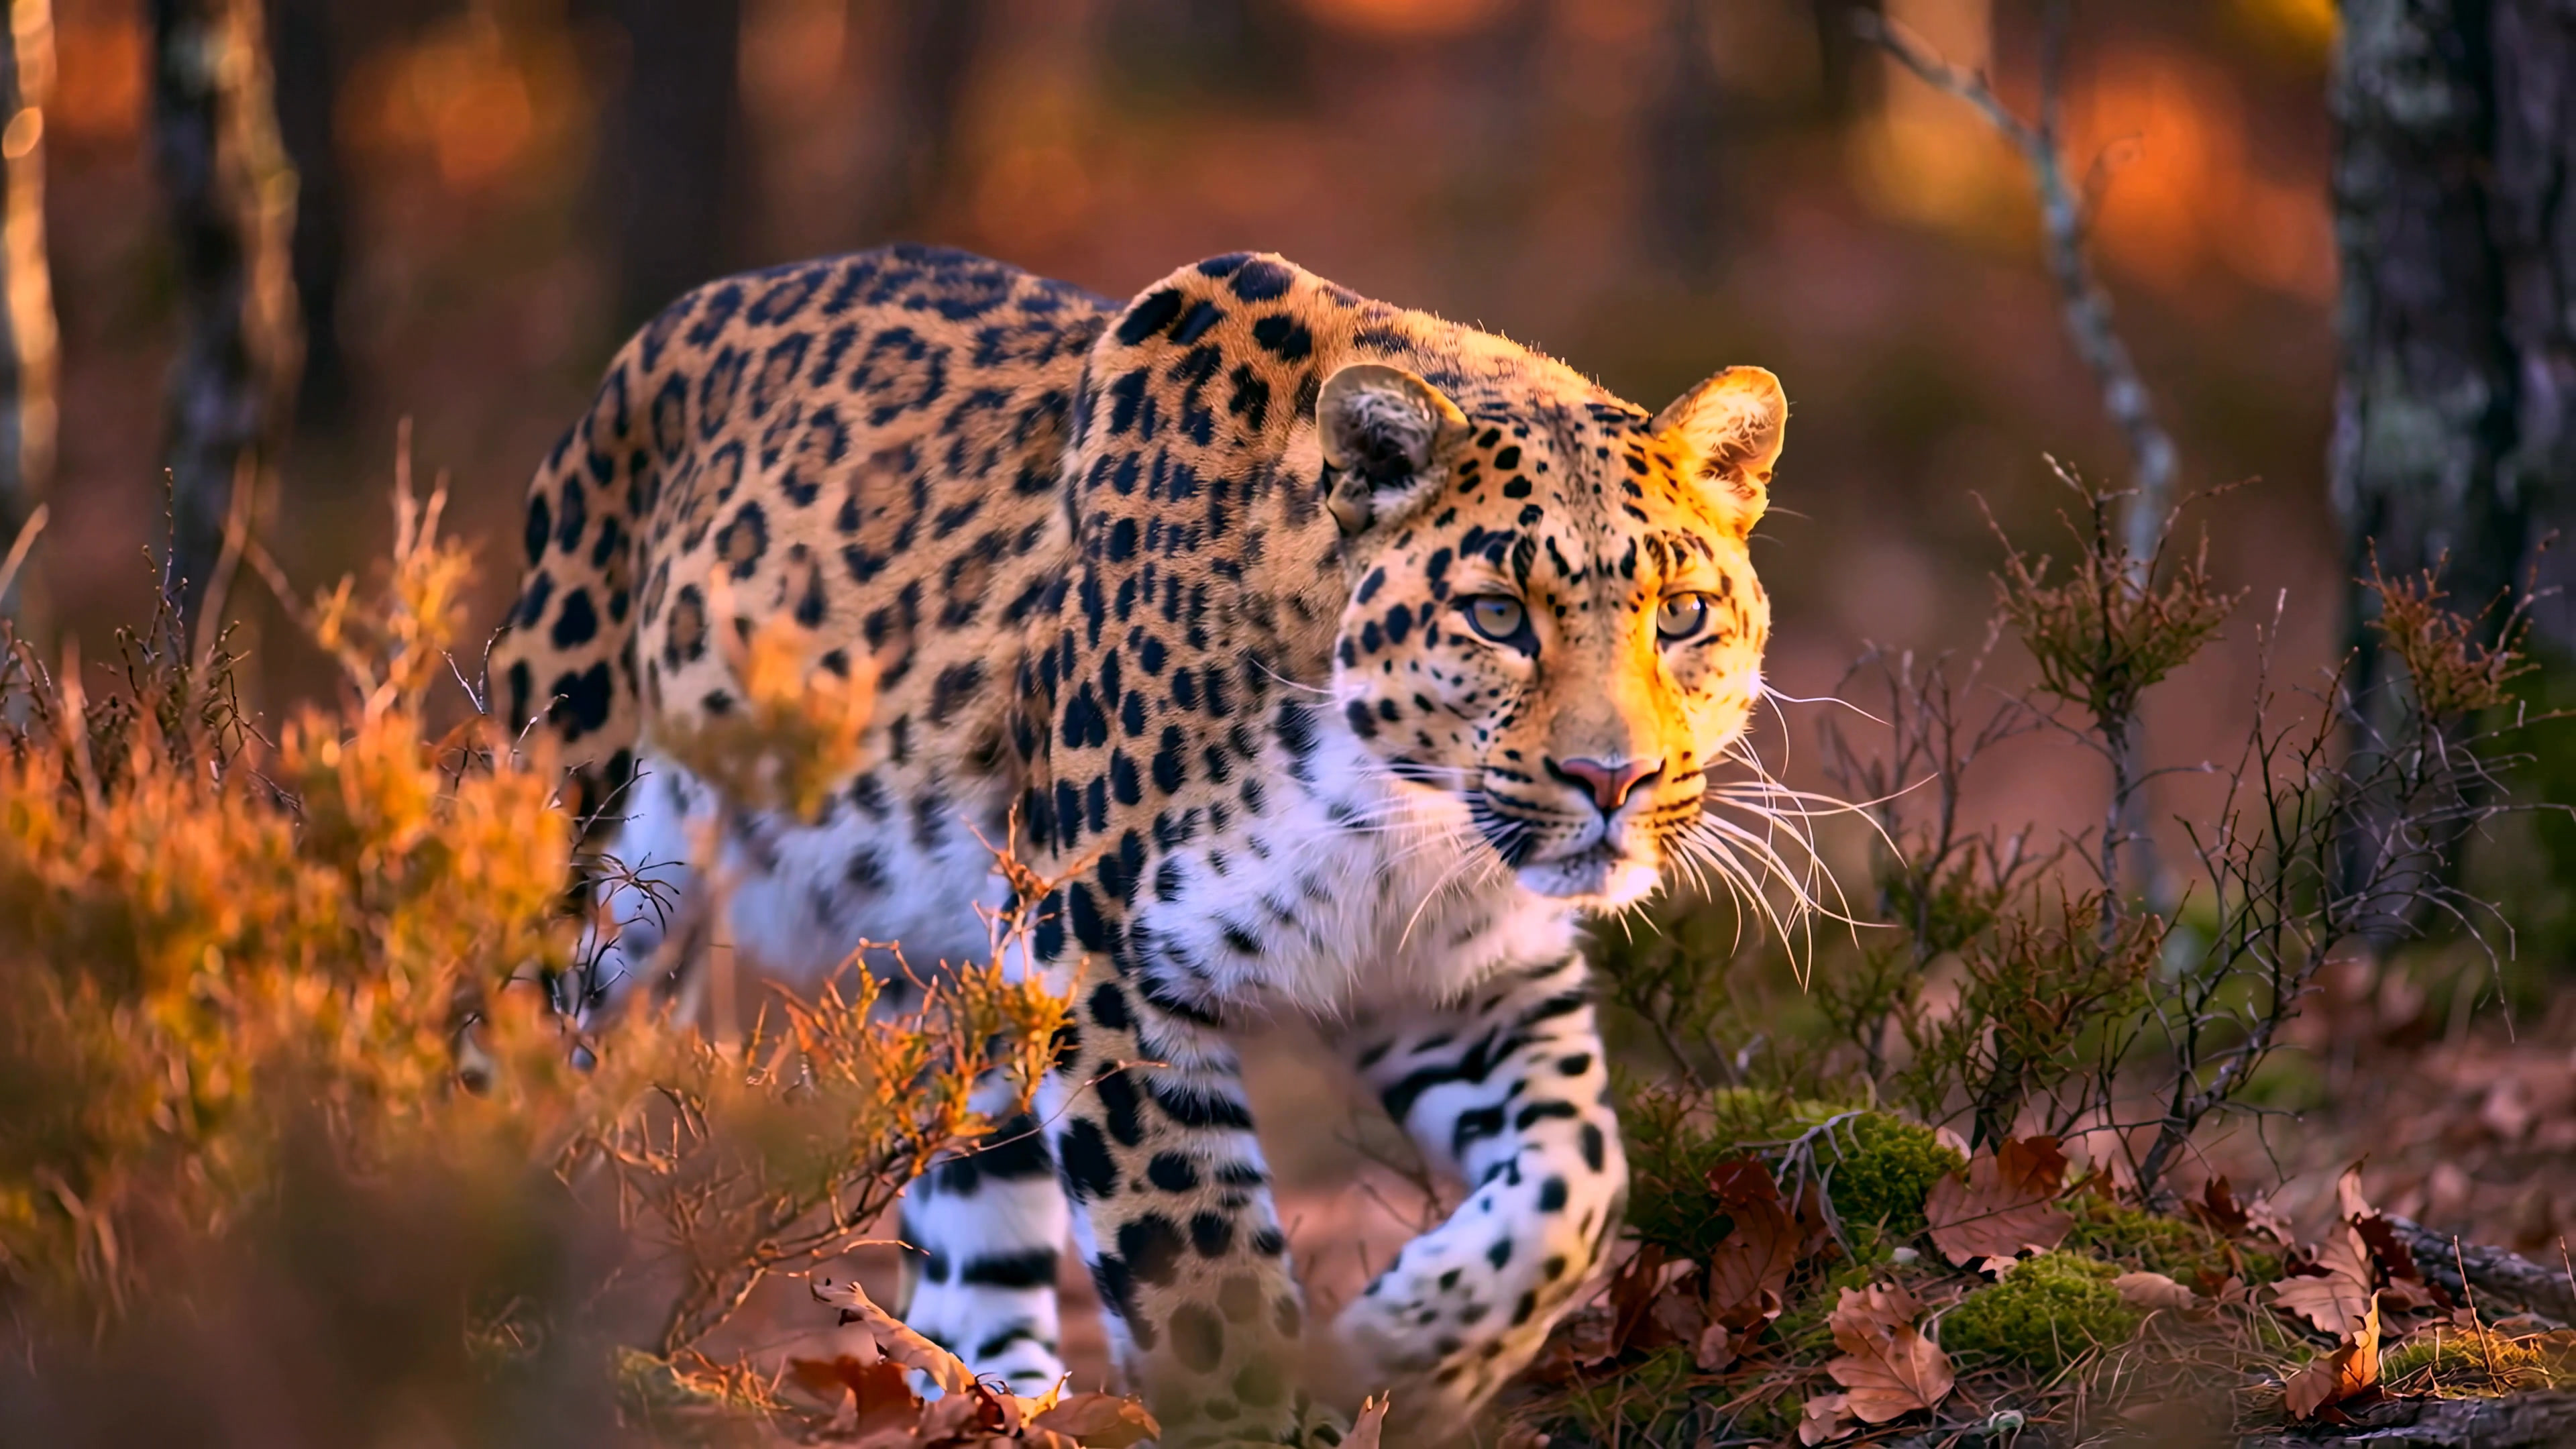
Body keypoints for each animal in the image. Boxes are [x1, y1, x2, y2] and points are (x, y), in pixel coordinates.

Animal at [490, 243, 1788, 1446]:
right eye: (1496, 615)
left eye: (1682, 616)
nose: (1612, 780)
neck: (1403, 825)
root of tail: (658, 333)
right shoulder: (1108, 967)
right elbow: (1205, 1277)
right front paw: (1271, 1413)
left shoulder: (1468, 980)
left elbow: (1581, 1177)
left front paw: (1399, 1350)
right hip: (580, 847)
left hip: (961, 986)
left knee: (966, 1250)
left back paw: (1009, 1408)